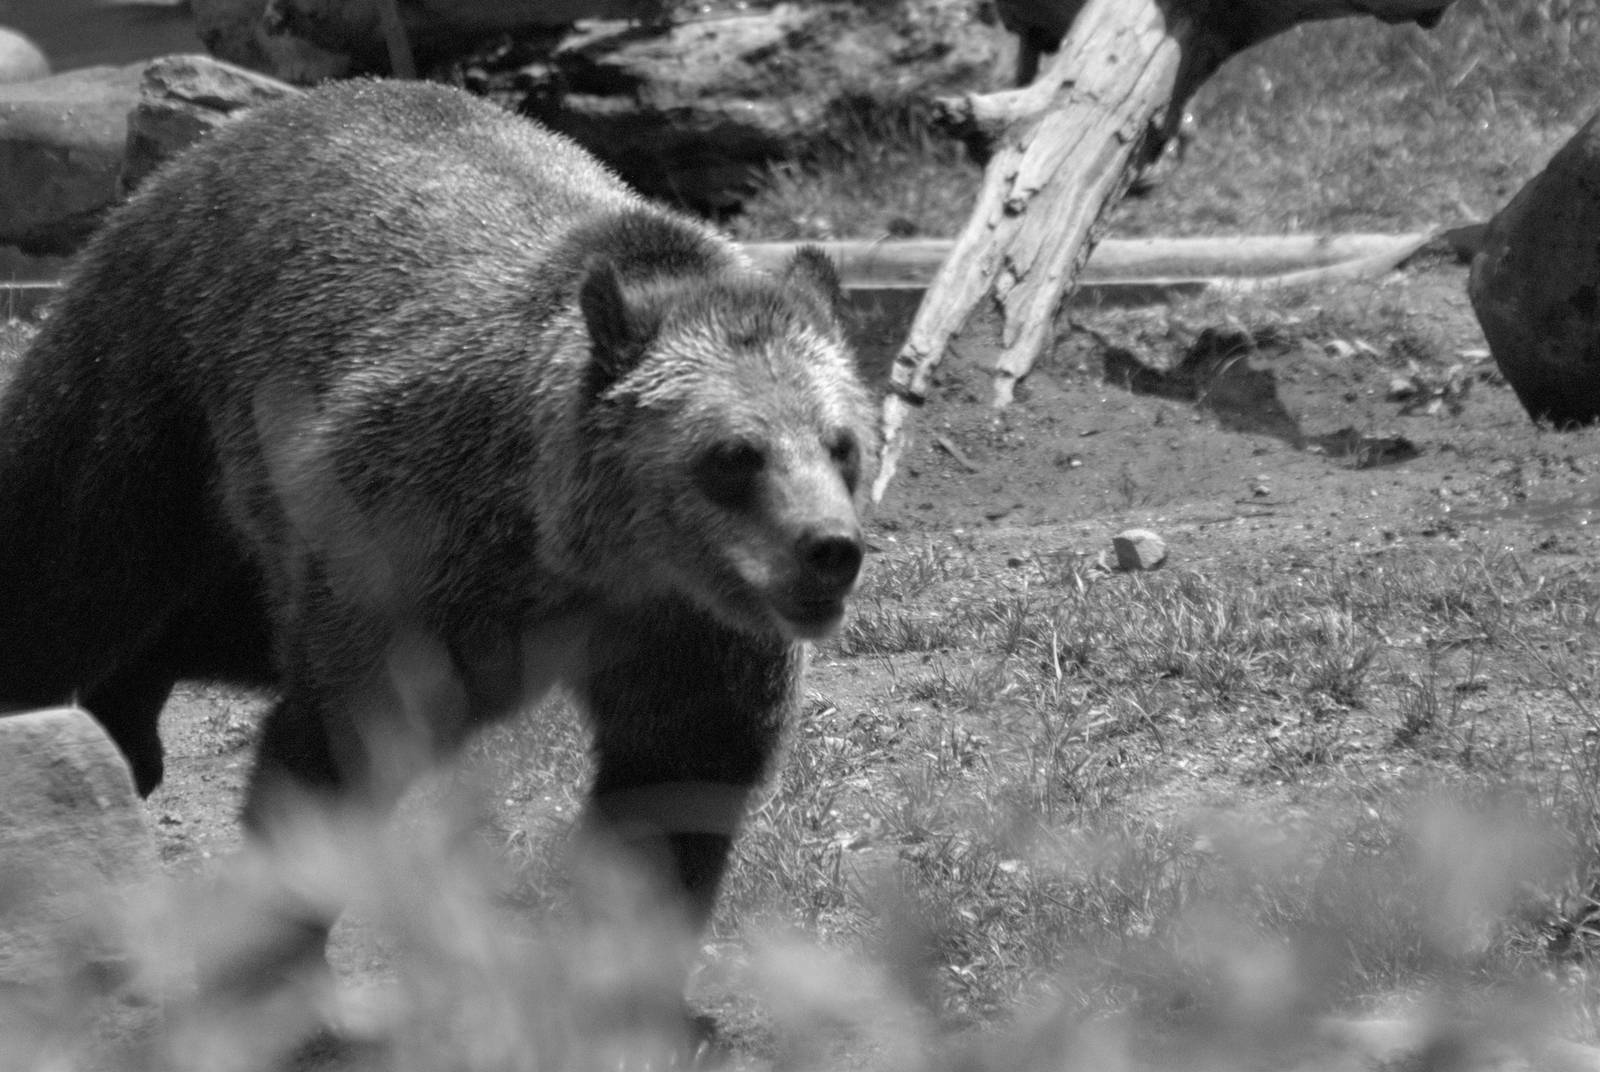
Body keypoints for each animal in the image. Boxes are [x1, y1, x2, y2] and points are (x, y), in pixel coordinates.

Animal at [0, 78, 874, 1017]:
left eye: (841, 443)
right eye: (734, 456)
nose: (828, 549)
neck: (583, 559)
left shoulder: (692, 635)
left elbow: (673, 792)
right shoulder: (413, 554)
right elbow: (334, 748)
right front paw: (278, 980)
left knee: (205, 626)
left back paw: (125, 728)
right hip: (151, 392)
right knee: (66, 571)